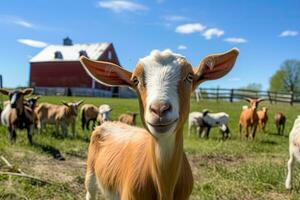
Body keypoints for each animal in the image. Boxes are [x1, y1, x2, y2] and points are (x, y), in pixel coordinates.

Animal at [79, 47, 239, 199]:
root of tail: (107, 123)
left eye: (189, 76)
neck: (164, 185)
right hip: (91, 175)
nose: (159, 109)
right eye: (135, 80)